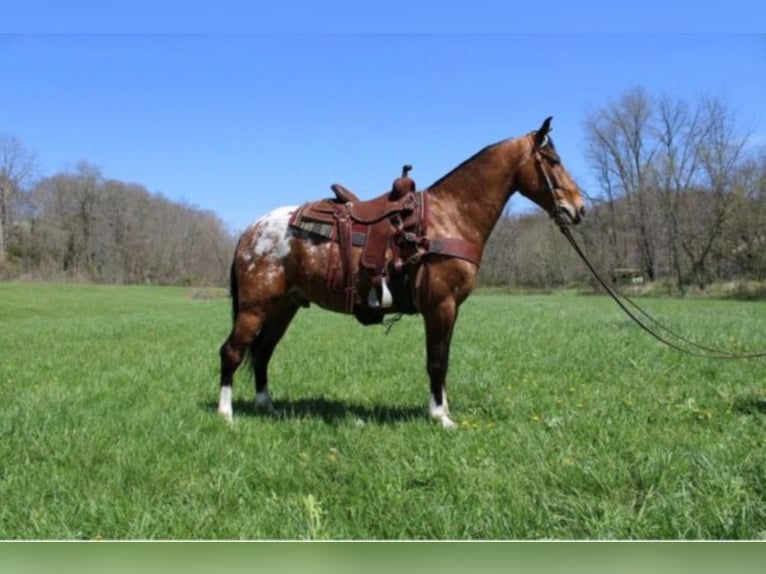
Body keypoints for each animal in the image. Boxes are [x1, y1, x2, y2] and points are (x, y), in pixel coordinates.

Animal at [218, 117, 588, 430]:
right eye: (553, 160)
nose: (579, 208)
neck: (449, 217)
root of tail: (250, 230)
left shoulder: (450, 310)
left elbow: (443, 358)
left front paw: (442, 409)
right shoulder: (441, 306)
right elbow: (436, 361)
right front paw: (441, 418)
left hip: (284, 306)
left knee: (262, 352)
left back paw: (267, 407)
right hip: (255, 306)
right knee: (232, 351)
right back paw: (226, 415)